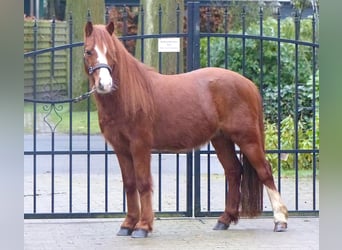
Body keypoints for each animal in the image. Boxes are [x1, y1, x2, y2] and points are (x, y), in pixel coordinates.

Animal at [83, 20, 288, 237]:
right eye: (88, 51)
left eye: (111, 51)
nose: (105, 84)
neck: (127, 97)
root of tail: (248, 84)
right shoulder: (121, 148)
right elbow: (130, 184)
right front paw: (128, 224)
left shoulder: (140, 146)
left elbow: (143, 182)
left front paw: (143, 226)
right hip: (221, 140)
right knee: (233, 171)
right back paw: (224, 219)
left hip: (248, 139)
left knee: (264, 171)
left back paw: (280, 221)